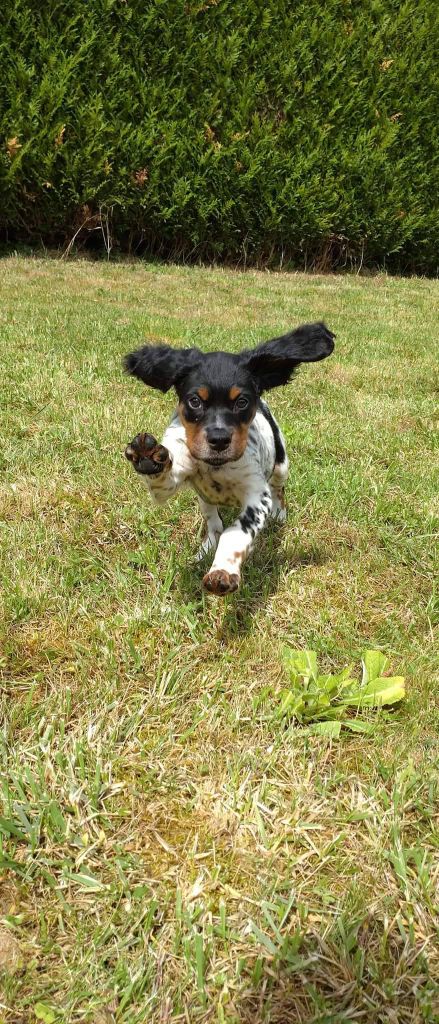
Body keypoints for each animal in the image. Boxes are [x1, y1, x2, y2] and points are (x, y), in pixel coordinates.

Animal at [121, 323, 333, 598]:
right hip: (204, 499)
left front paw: (223, 571)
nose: (219, 439)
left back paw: (279, 514)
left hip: (281, 465)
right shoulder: (176, 473)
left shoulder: (256, 494)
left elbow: (236, 532)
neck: (216, 465)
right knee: (213, 521)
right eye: (195, 401)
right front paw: (148, 456)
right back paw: (206, 547)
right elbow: (164, 477)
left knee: (279, 488)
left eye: (242, 401)